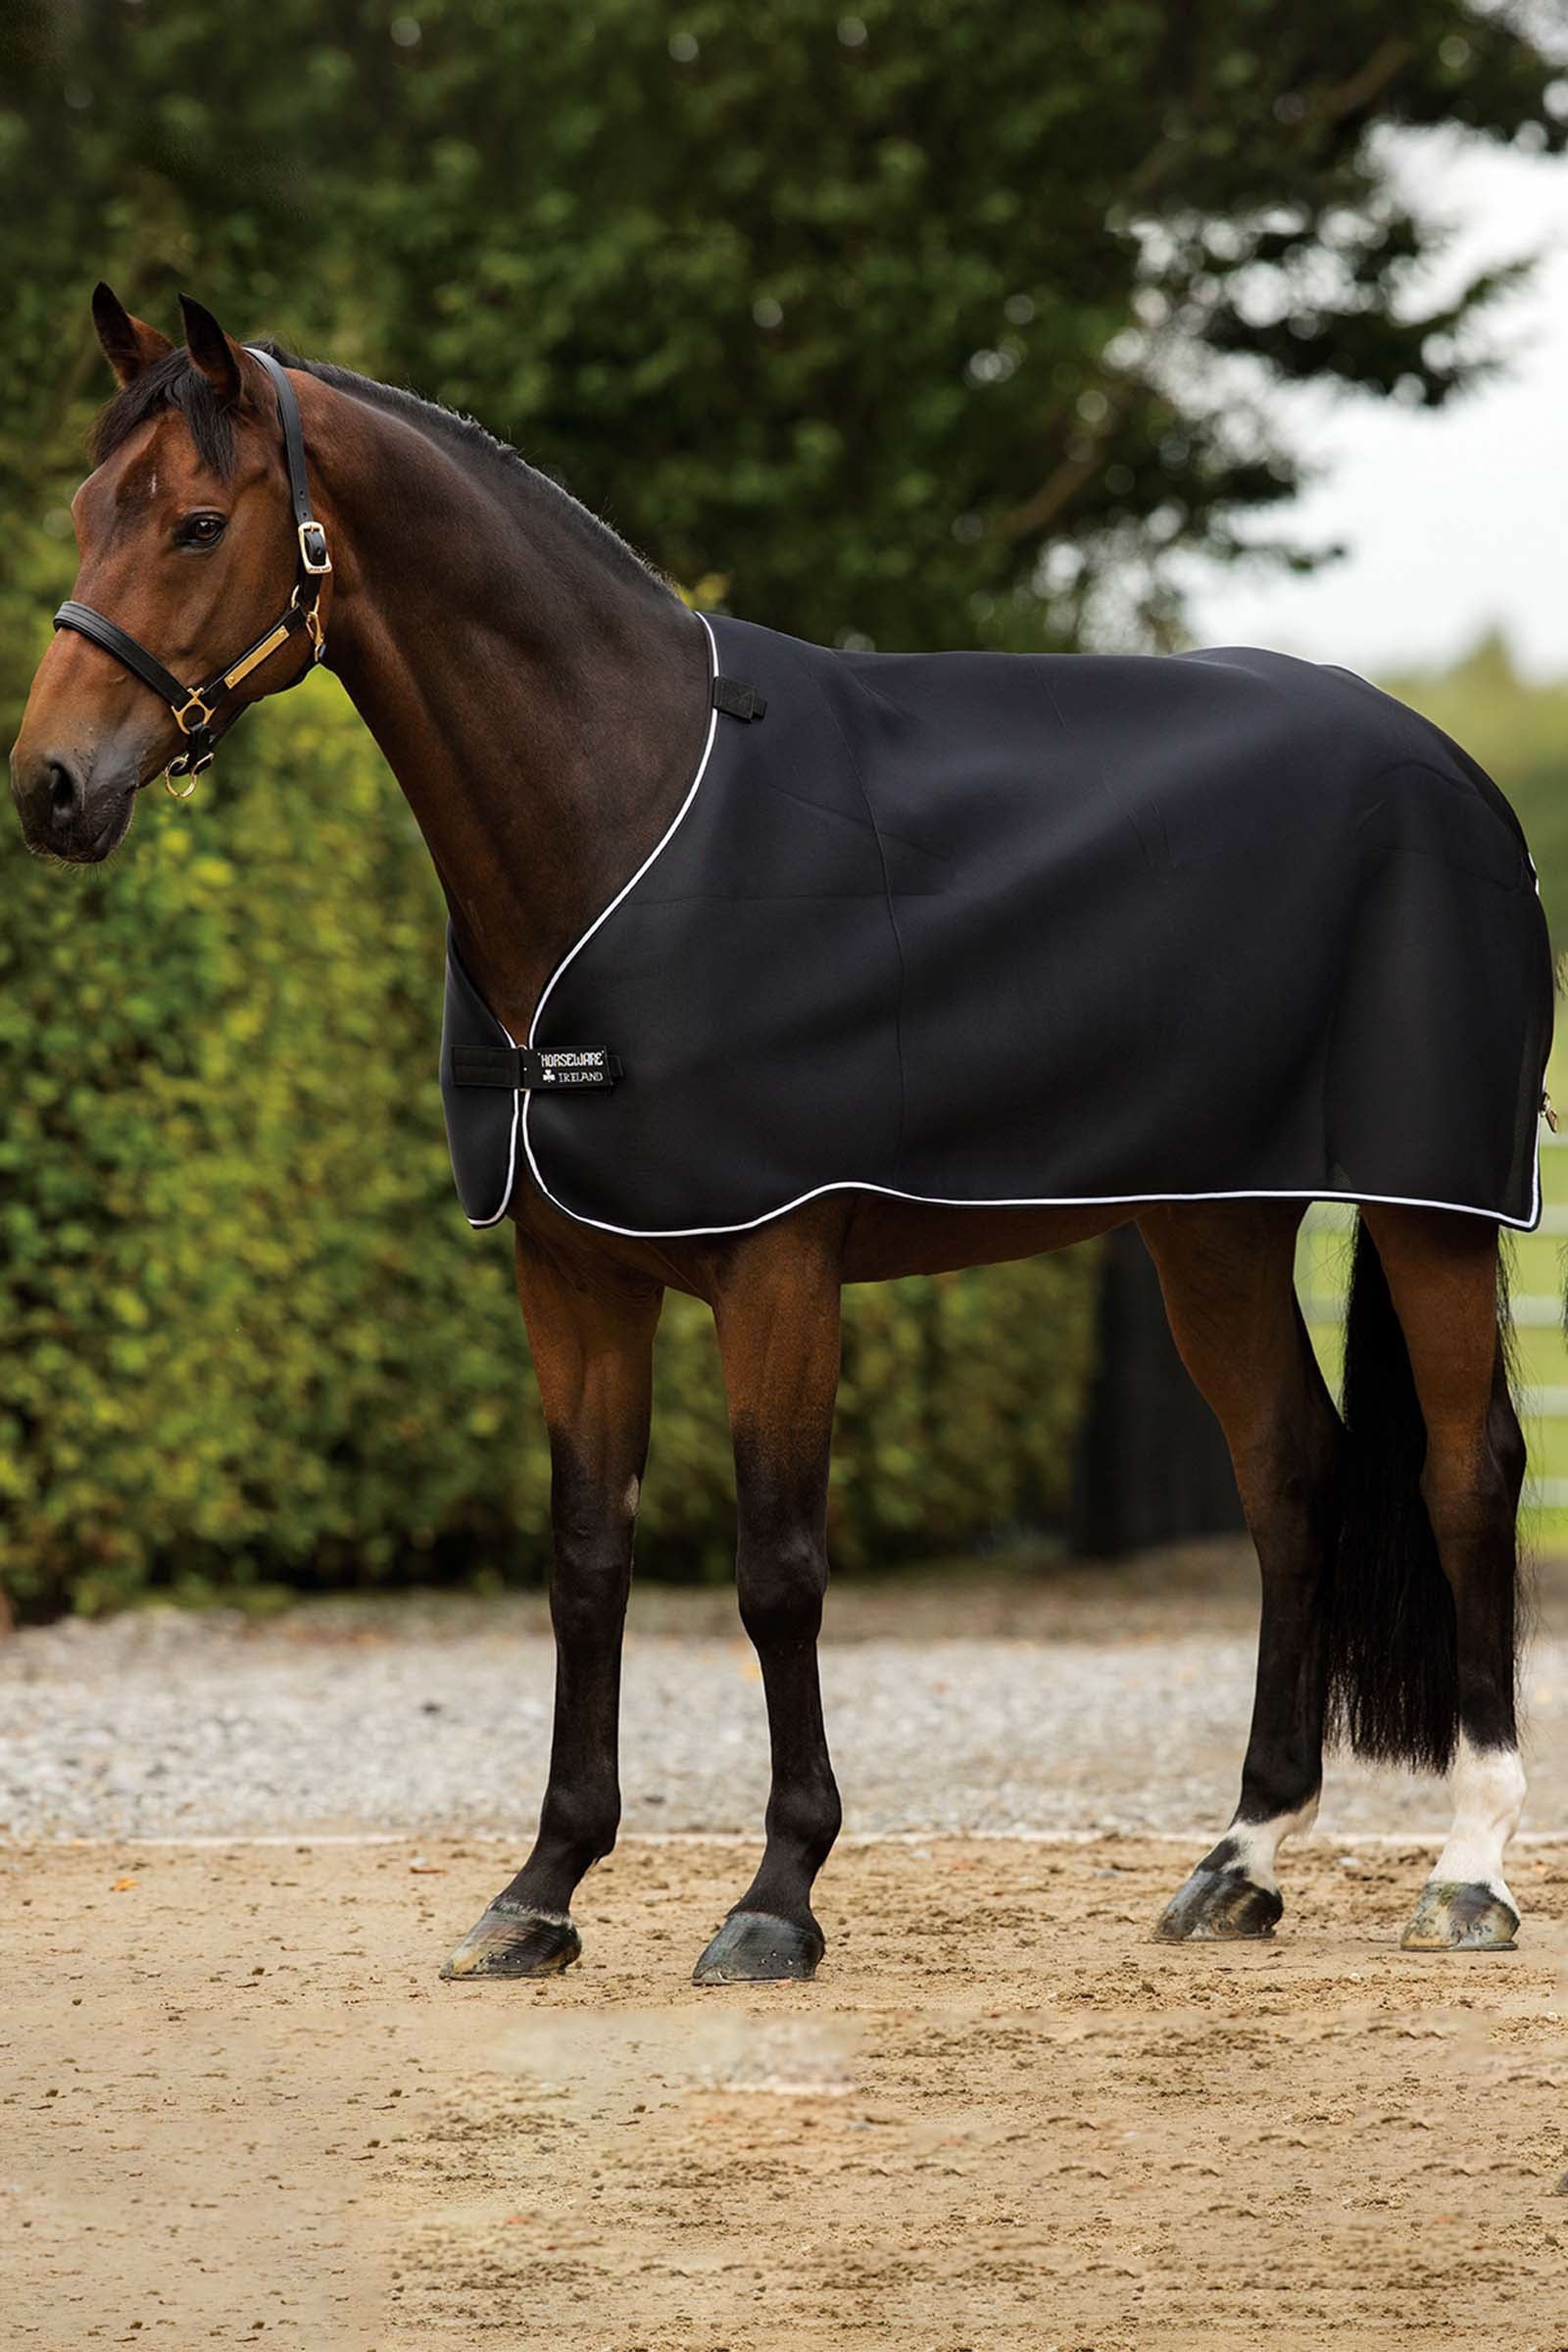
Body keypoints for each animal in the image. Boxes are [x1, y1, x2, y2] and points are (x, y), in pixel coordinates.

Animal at [9, 286, 1552, 1983]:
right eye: (85, 511)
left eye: (199, 521)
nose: (50, 789)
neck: (625, 812)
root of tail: (1451, 769)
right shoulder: (574, 1279)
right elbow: (587, 1567)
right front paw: (540, 1889)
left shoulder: (780, 1268)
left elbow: (779, 1571)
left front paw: (776, 1895)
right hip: (1211, 1223)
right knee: (1291, 1475)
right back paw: (1240, 1860)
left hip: (1426, 1209)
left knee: (1467, 1473)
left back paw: (1469, 1871)